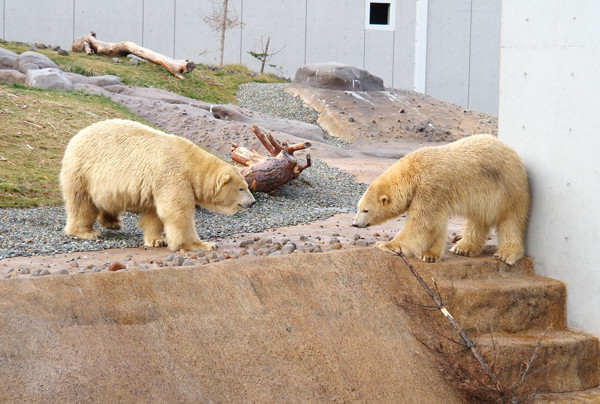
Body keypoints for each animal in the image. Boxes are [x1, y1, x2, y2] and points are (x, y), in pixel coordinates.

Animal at [61, 118, 255, 251]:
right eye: (241, 188)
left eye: (246, 185)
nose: (252, 202)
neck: (190, 162)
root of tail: (76, 137)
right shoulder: (173, 177)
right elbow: (177, 212)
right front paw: (203, 244)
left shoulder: (157, 183)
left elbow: (154, 213)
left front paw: (157, 240)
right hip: (82, 171)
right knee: (81, 203)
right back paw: (87, 232)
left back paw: (113, 222)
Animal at [352, 135, 528, 266]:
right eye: (358, 207)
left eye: (365, 210)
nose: (354, 224)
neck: (412, 172)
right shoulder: (435, 194)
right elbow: (435, 225)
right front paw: (429, 255)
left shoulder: (429, 187)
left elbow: (422, 223)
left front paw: (386, 245)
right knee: (477, 220)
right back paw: (463, 248)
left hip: (508, 188)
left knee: (511, 221)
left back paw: (505, 254)